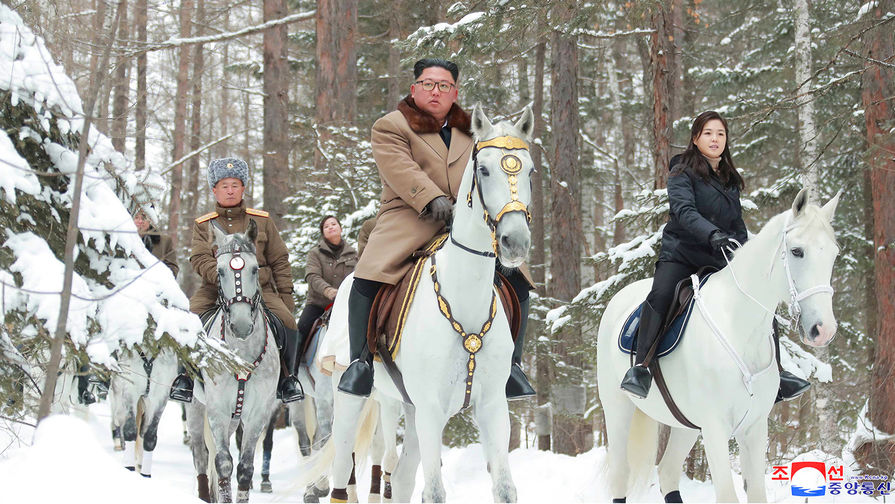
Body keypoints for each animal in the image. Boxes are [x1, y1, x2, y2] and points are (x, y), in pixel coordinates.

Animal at [108, 346, 177, 476]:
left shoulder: (160, 396)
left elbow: (150, 437)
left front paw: (145, 474)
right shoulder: (129, 389)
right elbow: (130, 431)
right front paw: (129, 467)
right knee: (118, 420)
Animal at [184, 221, 278, 504]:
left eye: (255, 269)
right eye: (220, 271)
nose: (241, 324)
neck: (241, 354)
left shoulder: (259, 412)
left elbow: (245, 467)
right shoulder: (217, 409)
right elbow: (222, 462)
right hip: (196, 408)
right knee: (200, 453)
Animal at [600, 187, 844, 502]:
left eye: (834, 254)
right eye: (797, 251)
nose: (823, 329)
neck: (739, 329)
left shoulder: (754, 428)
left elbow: (756, 493)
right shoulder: (715, 428)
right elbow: (728, 494)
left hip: (686, 425)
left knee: (667, 472)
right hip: (618, 408)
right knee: (621, 473)